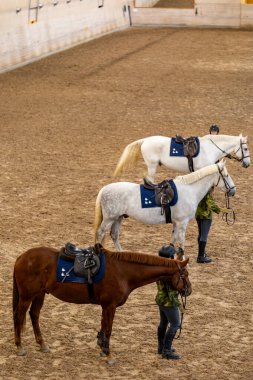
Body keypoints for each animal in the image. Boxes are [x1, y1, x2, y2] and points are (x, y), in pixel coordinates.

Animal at [12, 243, 190, 360]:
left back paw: (42, 344)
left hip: (39, 294)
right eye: (185, 275)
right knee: (18, 316)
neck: (122, 271)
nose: (189, 290)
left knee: (34, 315)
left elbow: (104, 327)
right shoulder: (110, 306)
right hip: (27, 296)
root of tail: (22, 257)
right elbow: (109, 329)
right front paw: (109, 355)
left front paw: (103, 348)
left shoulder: (105, 306)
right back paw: (19, 347)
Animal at [94, 160, 235, 252]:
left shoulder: (176, 222)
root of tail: (104, 189)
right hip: (110, 218)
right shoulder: (182, 222)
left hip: (118, 218)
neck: (189, 189)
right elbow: (181, 241)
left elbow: (173, 238)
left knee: (114, 235)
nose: (233, 190)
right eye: (226, 175)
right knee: (100, 233)